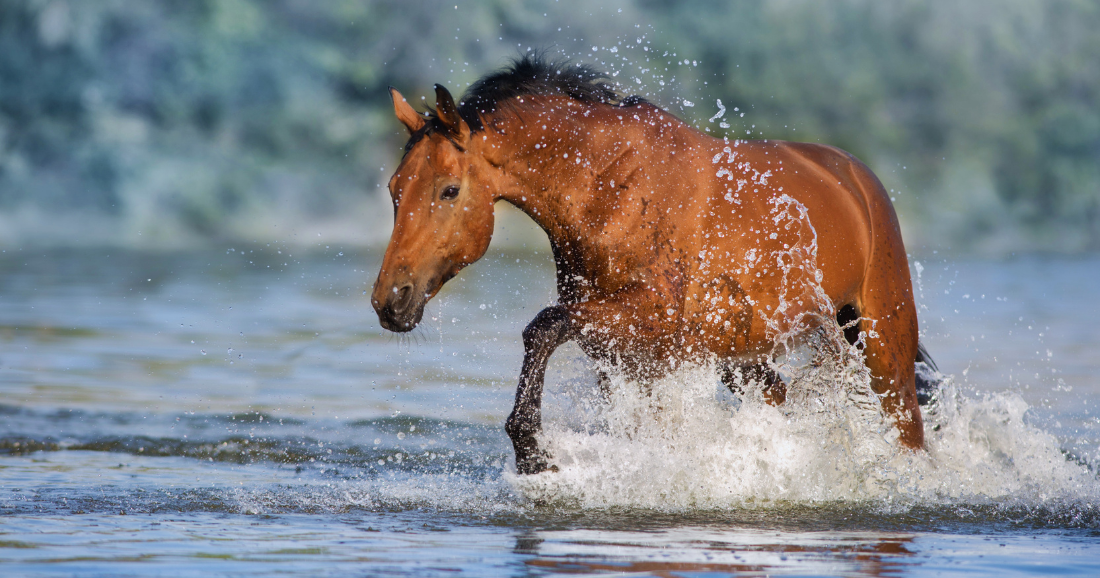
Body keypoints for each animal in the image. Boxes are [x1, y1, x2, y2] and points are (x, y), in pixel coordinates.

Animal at [372, 55, 935, 475]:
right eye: (394, 189)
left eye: (448, 190)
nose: (390, 301)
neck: (610, 185)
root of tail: (856, 180)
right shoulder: (625, 348)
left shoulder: (655, 323)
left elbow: (542, 327)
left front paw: (532, 451)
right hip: (742, 355)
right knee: (779, 399)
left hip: (881, 344)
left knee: (907, 425)